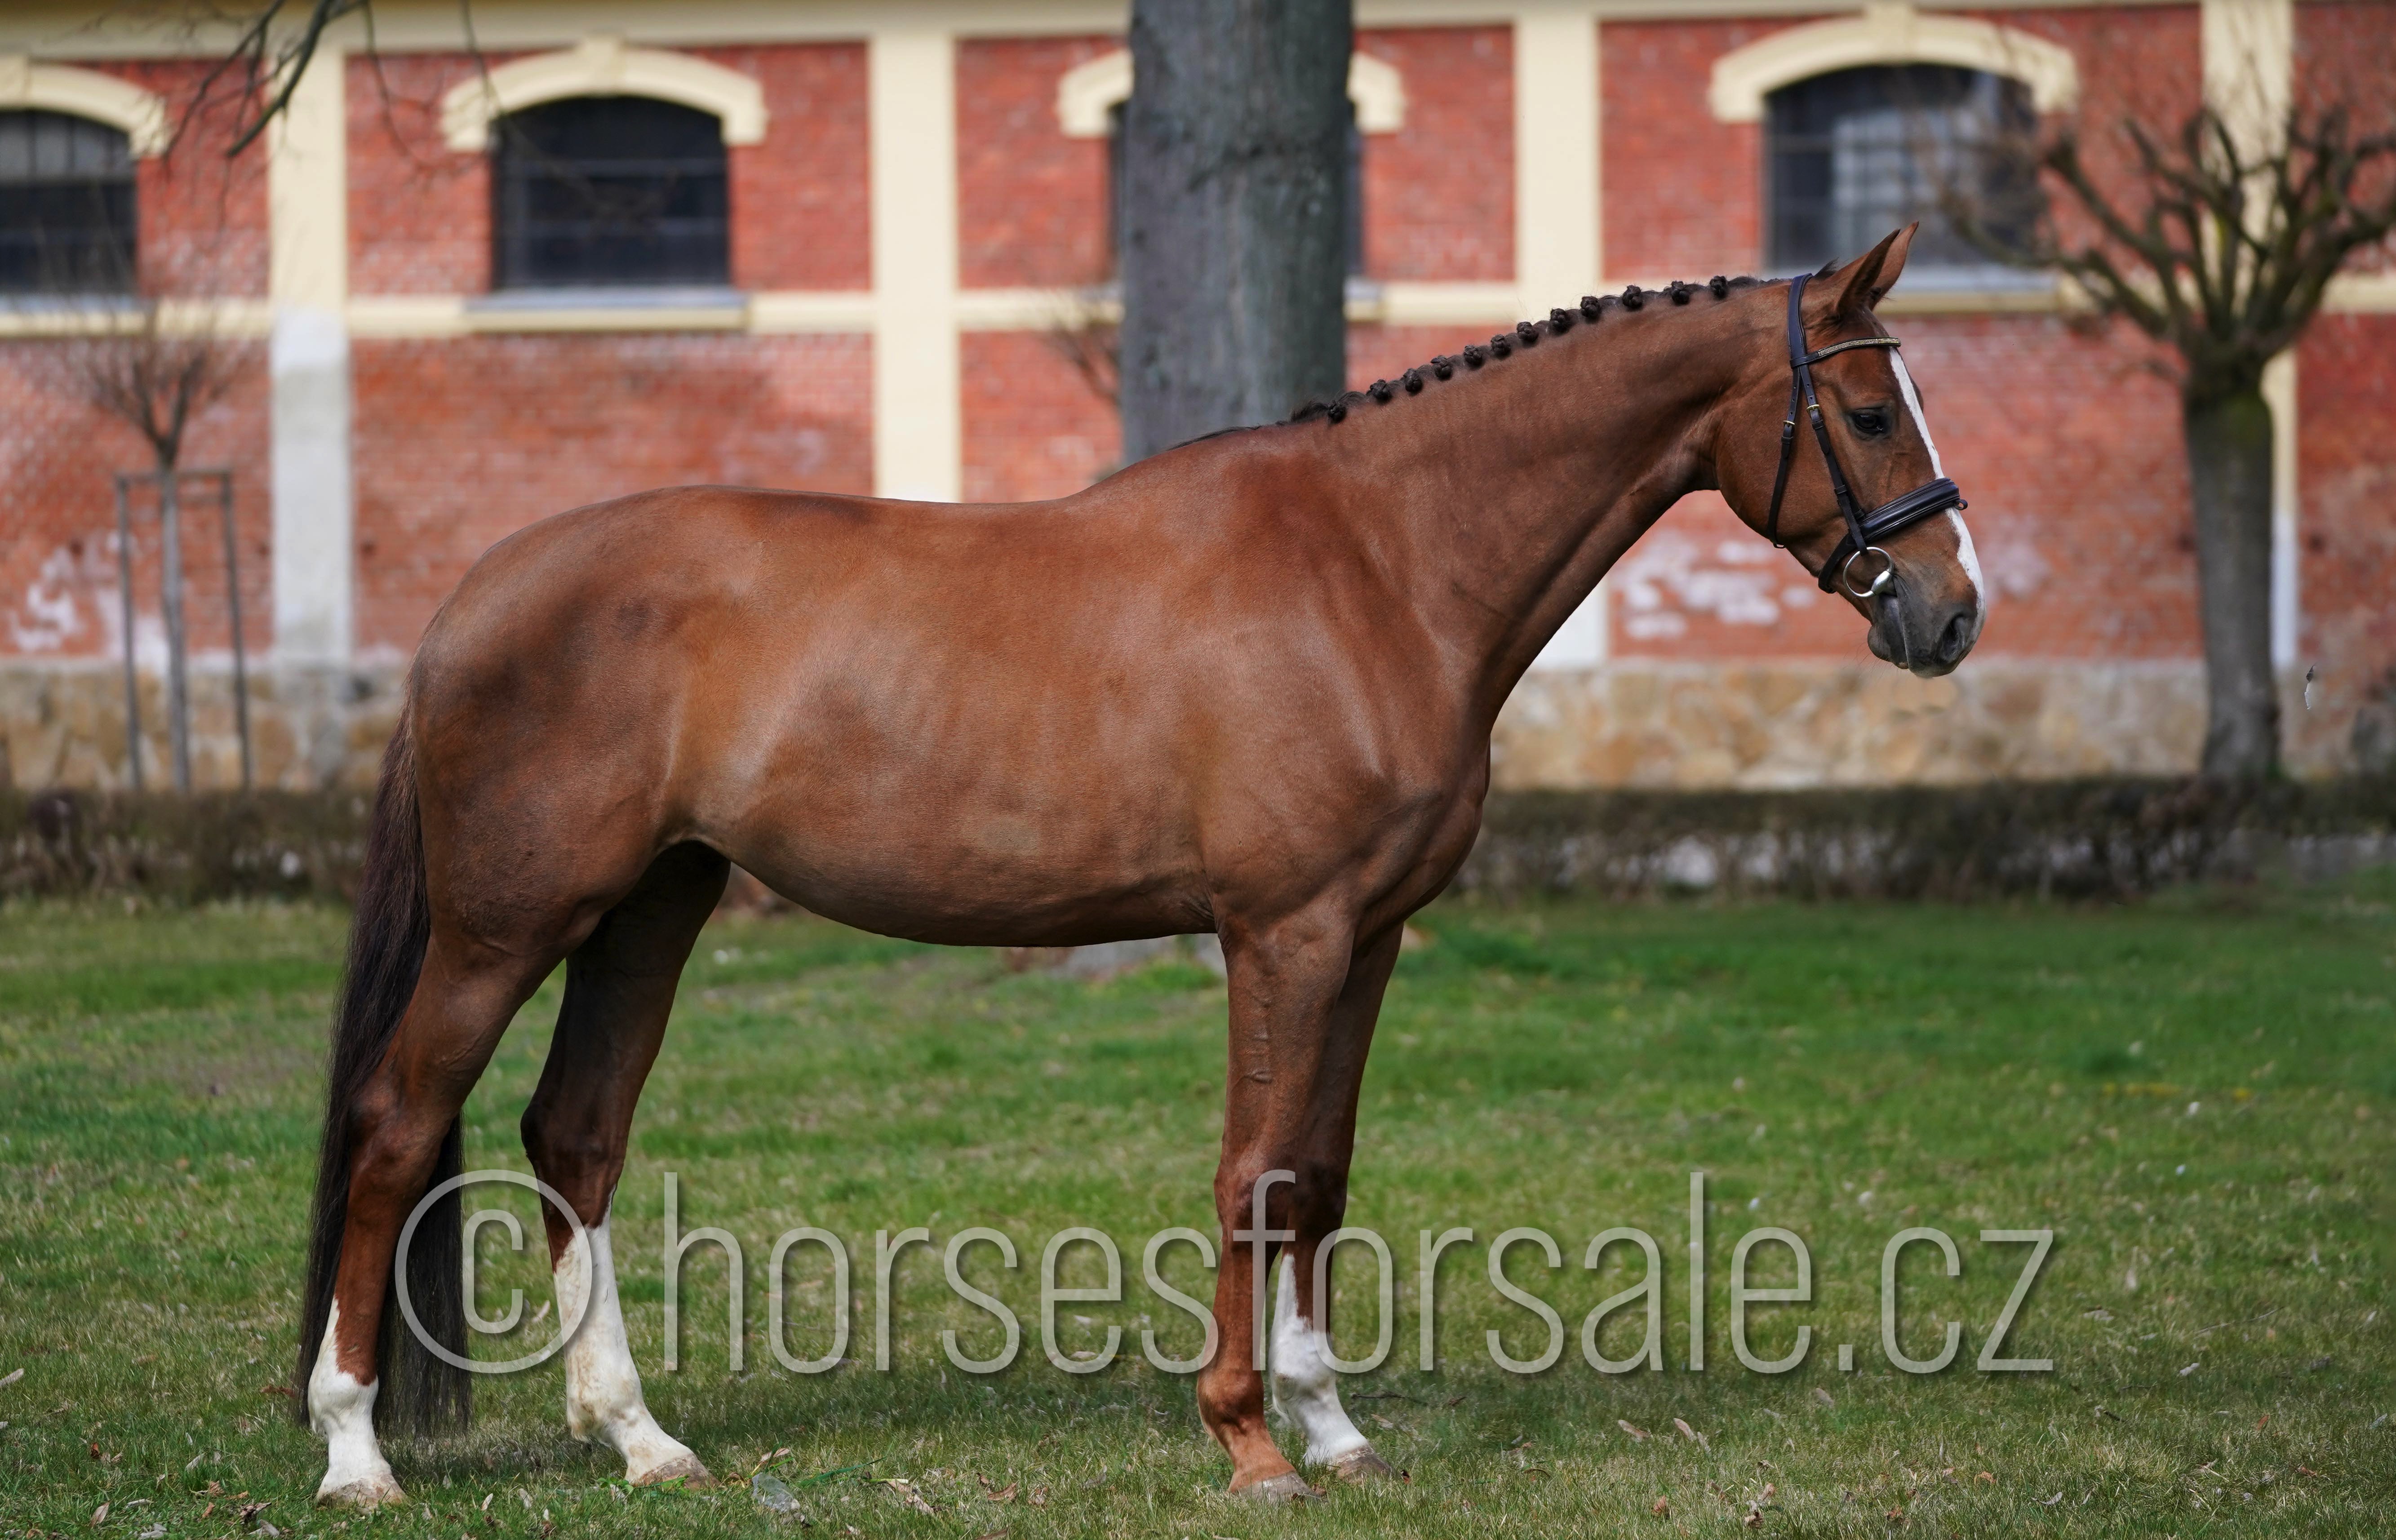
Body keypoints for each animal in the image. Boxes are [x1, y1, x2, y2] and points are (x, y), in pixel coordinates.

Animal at [296, 226, 1983, 1506]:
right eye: (1869, 411)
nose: (1950, 611)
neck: (1374, 563)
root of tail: (478, 593)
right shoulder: (1281, 930)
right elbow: (1252, 1168)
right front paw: (1248, 1438)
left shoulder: (1369, 935)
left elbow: (1320, 1171)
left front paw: (1332, 1423)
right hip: (507, 925)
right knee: (395, 1123)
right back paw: (356, 1449)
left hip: (650, 906)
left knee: (573, 1135)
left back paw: (643, 1439)